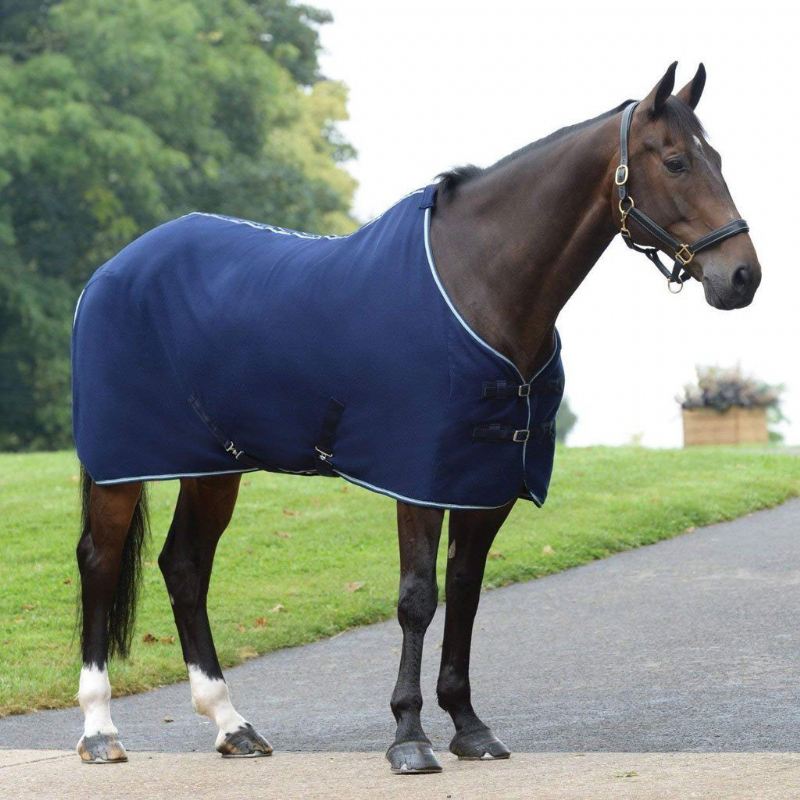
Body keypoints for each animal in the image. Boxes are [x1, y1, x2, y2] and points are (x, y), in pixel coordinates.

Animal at [72, 64, 760, 776]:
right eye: (676, 161)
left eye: (716, 158)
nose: (742, 276)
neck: (478, 282)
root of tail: (113, 269)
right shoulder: (418, 480)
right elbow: (417, 599)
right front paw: (409, 735)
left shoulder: (485, 483)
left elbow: (466, 591)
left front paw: (469, 726)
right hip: (123, 465)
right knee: (99, 561)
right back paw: (100, 729)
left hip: (214, 466)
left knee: (184, 566)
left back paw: (231, 723)